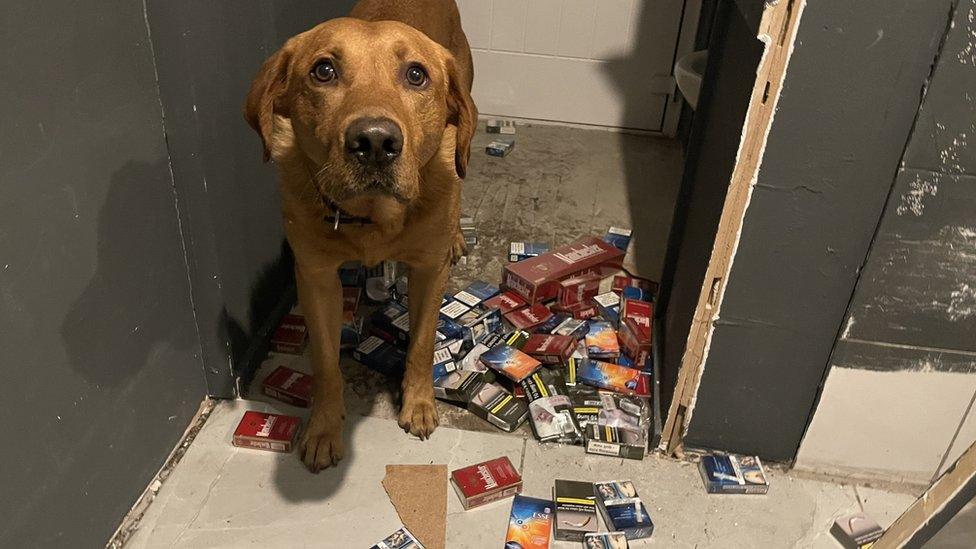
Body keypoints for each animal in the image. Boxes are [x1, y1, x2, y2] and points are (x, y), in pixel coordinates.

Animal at [243, 0, 472, 470]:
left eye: (416, 75)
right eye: (323, 70)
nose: (375, 141)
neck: (372, 218)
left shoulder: (429, 270)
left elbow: (422, 343)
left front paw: (418, 404)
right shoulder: (315, 278)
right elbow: (326, 364)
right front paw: (324, 428)